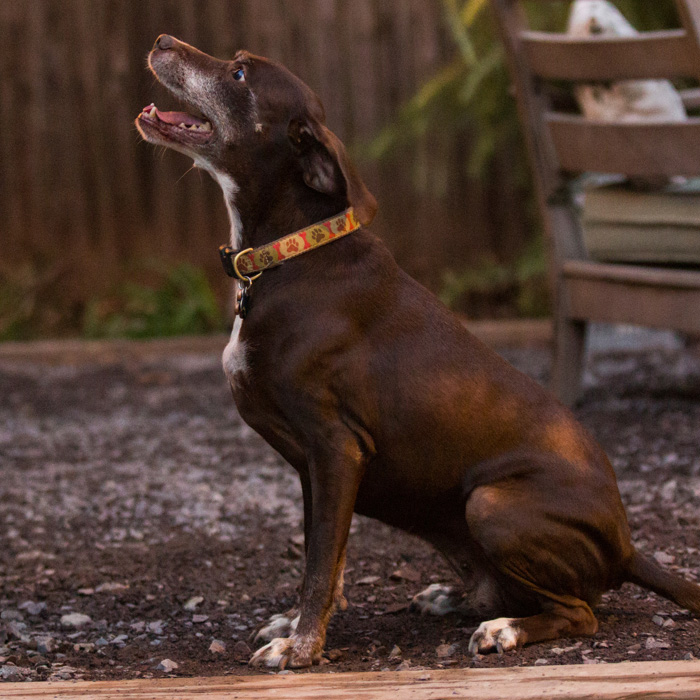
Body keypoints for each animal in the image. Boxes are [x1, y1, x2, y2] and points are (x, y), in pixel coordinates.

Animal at [137, 35, 700, 668]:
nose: (161, 41)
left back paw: (506, 629)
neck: (290, 256)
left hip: (489, 503)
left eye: (238, 73)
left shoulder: (337, 449)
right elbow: (324, 560)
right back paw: (455, 597)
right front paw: (299, 624)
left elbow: (320, 563)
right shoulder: (311, 466)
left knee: (580, 613)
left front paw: (301, 647)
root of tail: (628, 548)